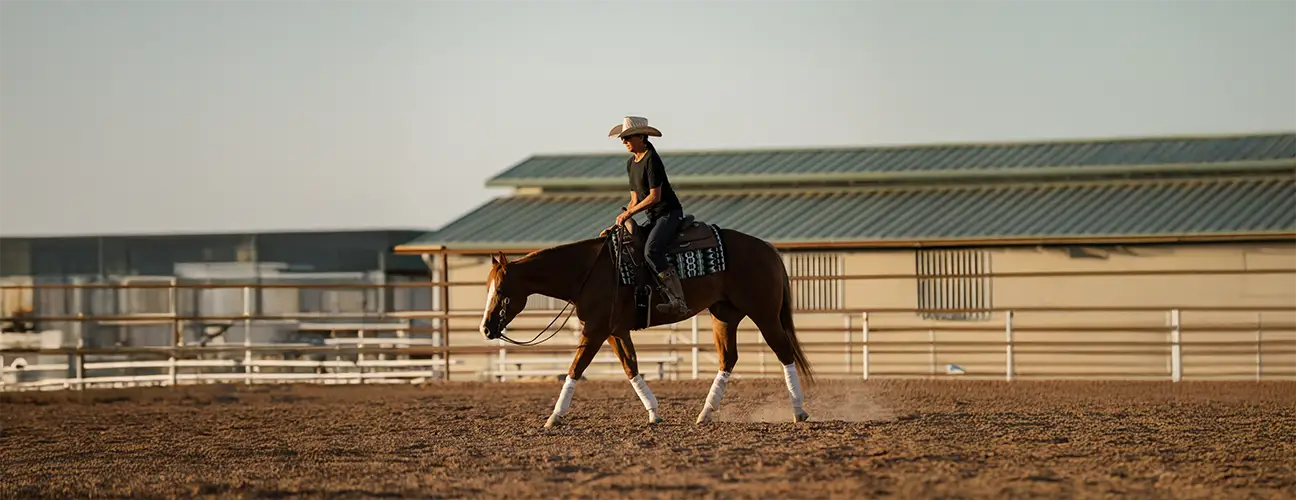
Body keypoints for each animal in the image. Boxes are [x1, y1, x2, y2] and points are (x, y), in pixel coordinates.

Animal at [478, 218, 815, 427]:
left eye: (502, 291)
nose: (486, 328)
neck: (588, 270)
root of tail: (767, 248)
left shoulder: (595, 330)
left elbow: (575, 369)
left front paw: (554, 417)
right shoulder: (615, 331)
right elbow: (631, 367)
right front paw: (653, 413)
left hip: (764, 315)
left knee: (784, 353)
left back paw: (798, 411)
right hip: (724, 314)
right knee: (728, 359)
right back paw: (706, 413)